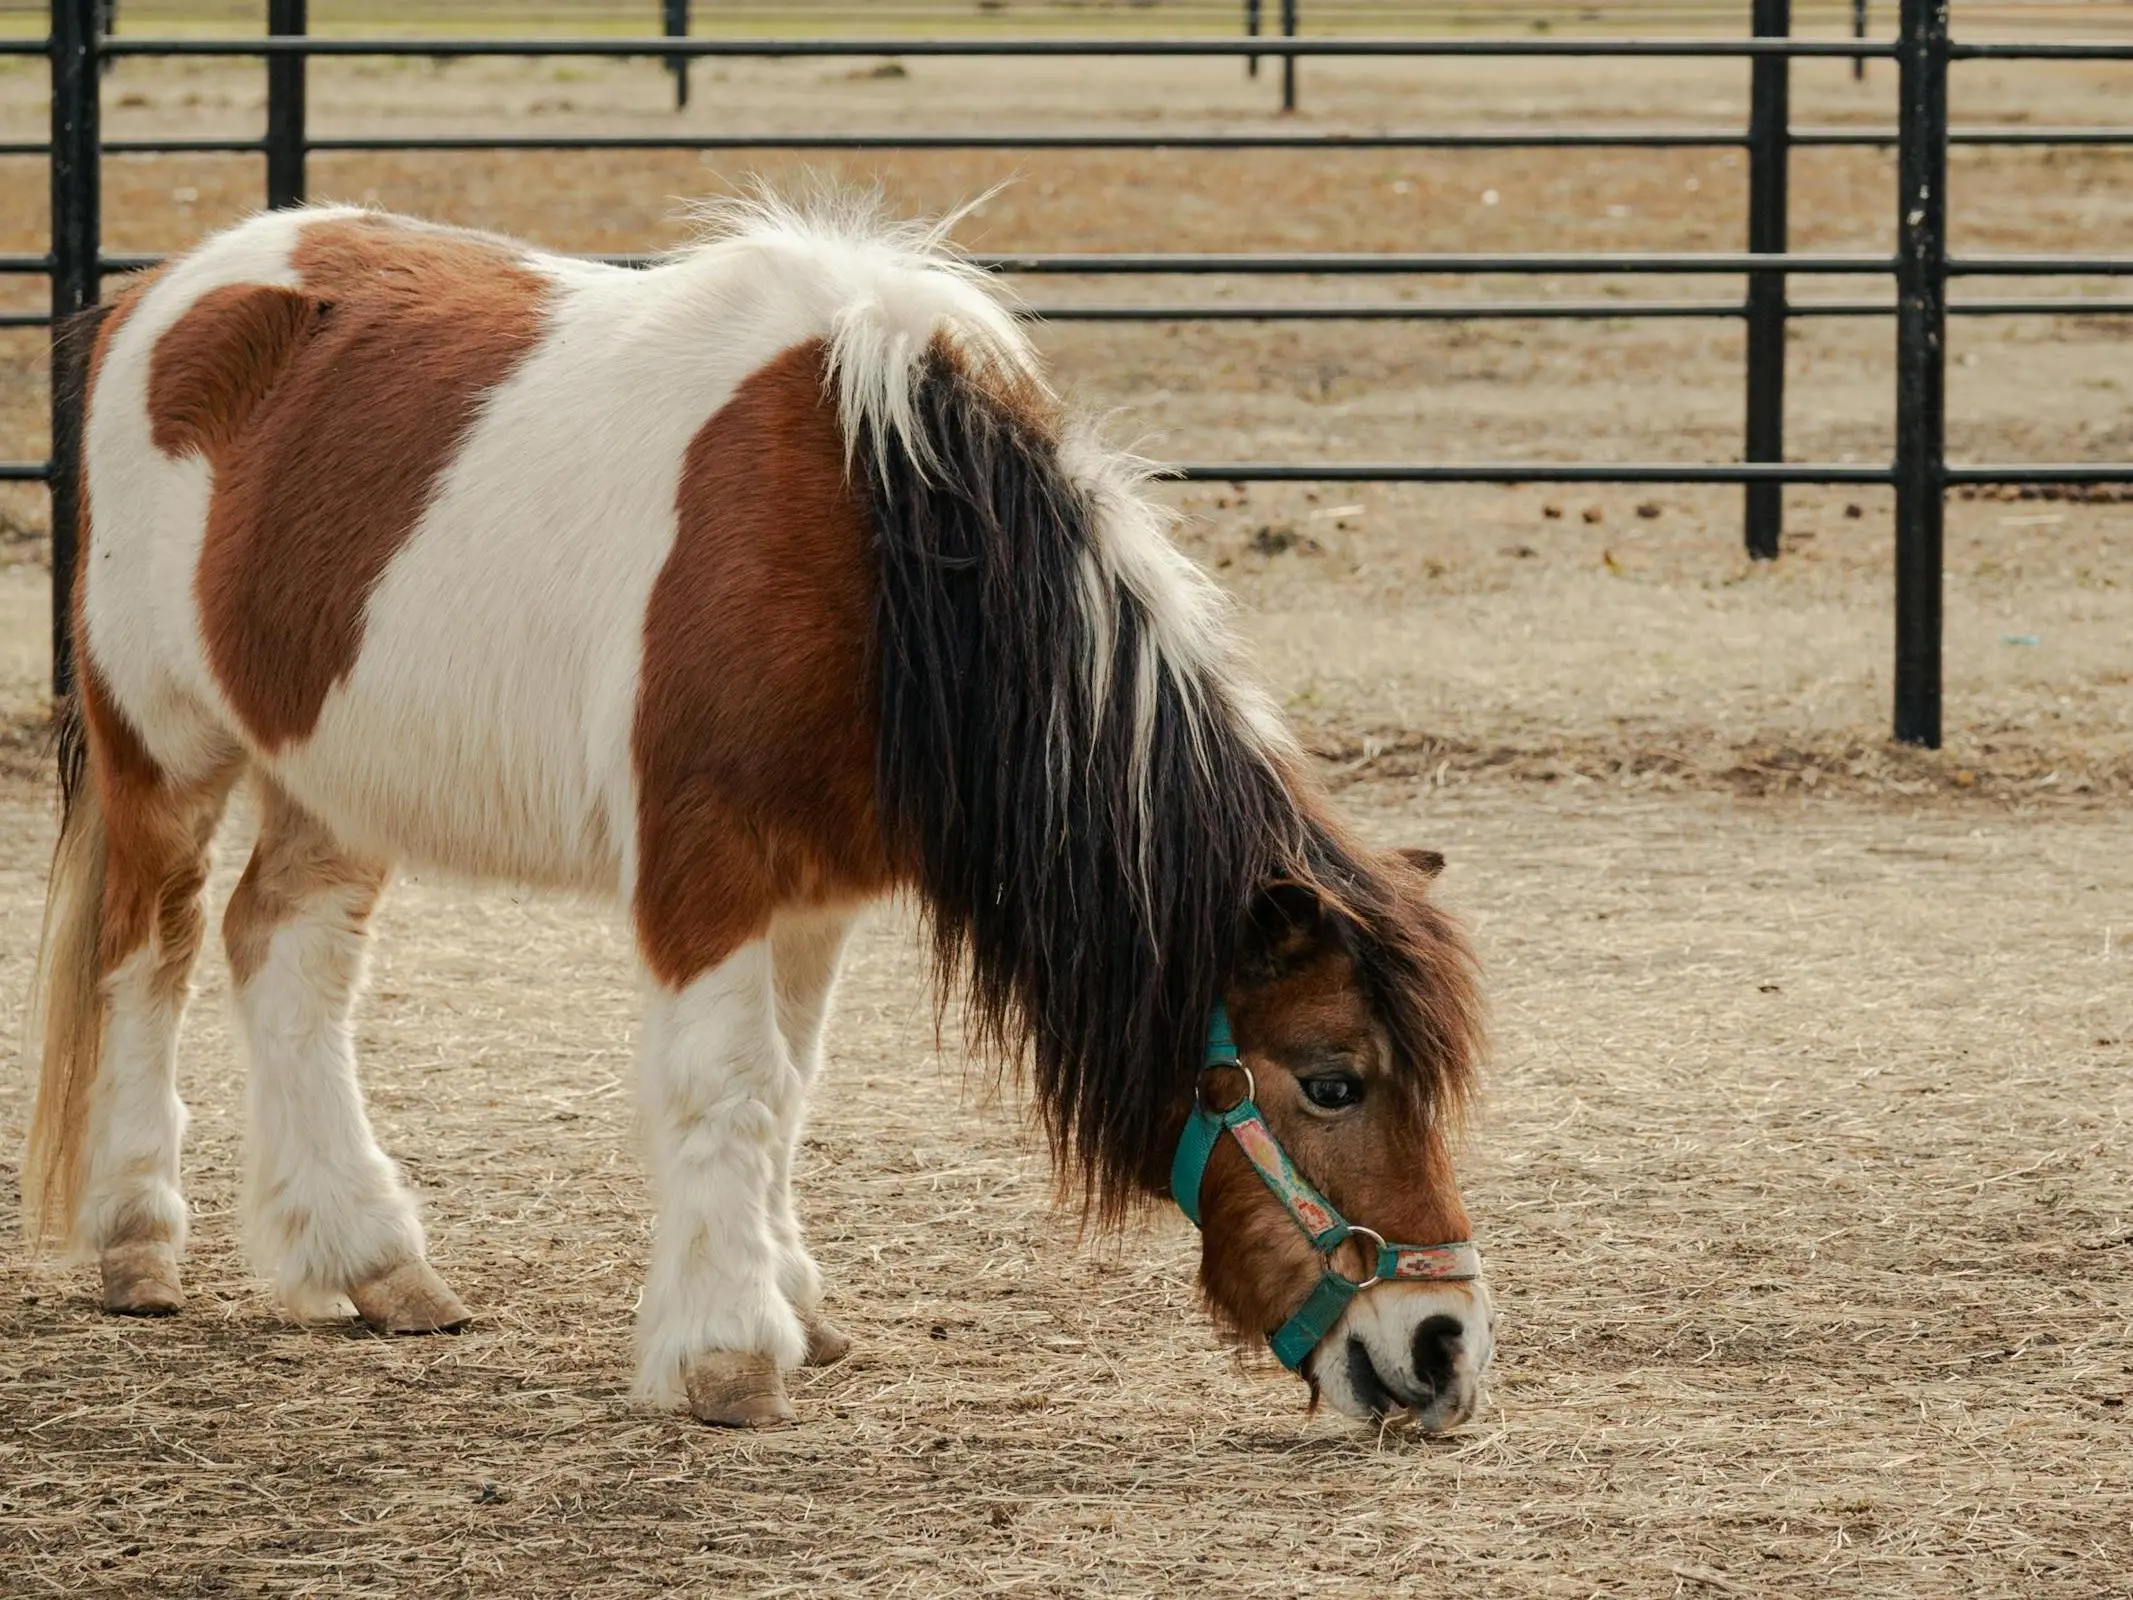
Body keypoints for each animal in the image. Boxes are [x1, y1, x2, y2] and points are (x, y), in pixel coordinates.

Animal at [20, 194, 1484, 1433]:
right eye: (1334, 1080)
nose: (1442, 1348)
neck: (877, 551)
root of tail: (160, 294)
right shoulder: (707, 866)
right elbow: (728, 1083)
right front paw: (726, 1350)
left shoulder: (817, 892)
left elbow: (789, 1085)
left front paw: (791, 1302)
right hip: (165, 748)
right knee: (149, 949)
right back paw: (138, 1237)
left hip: (337, 772)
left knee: (286, 952)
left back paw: (376, 1261)